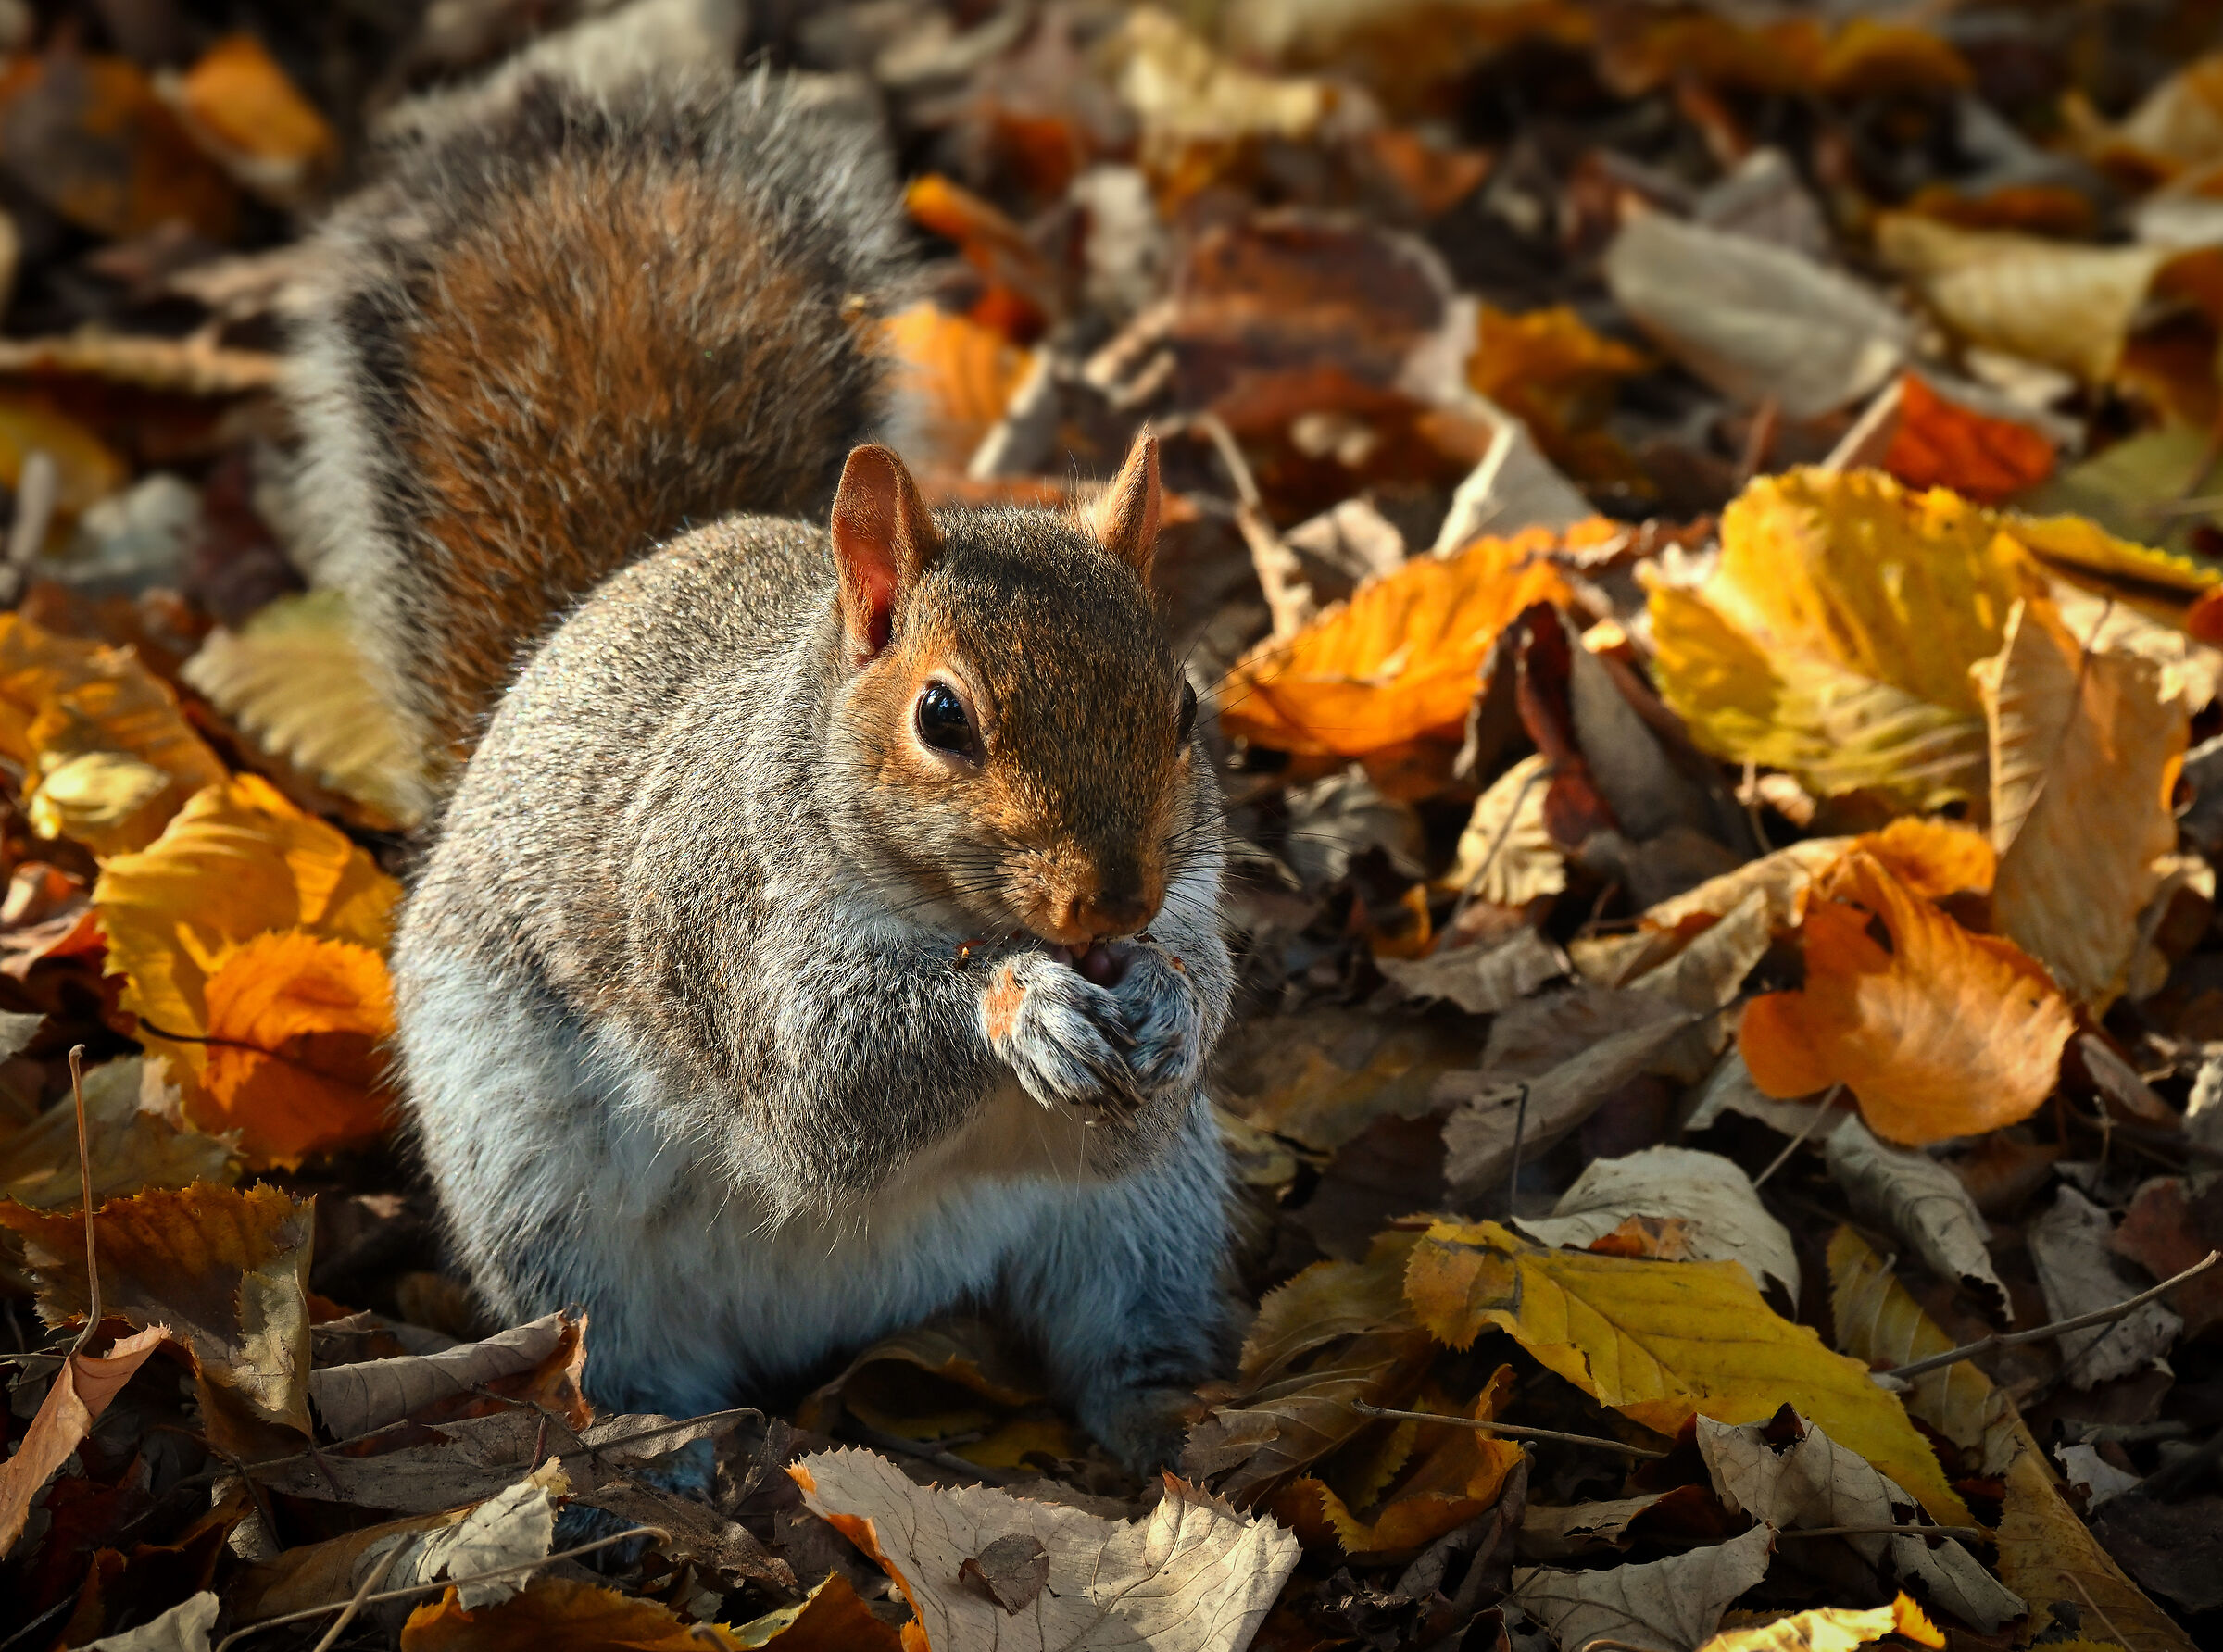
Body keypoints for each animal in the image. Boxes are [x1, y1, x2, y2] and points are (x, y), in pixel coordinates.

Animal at [285, 69, 1237, 1471]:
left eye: (1183, 707)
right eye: (942, 717)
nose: (1112, 906)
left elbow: (1188, 1012)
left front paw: (1169, 1000)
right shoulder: (723, 926)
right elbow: (831, 1086)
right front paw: (1023, 1007)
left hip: (1149, 1222)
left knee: (1127, 1322)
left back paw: (1170, 1424)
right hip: (552, 1223)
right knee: (622, 1355)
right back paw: (670, 1453)